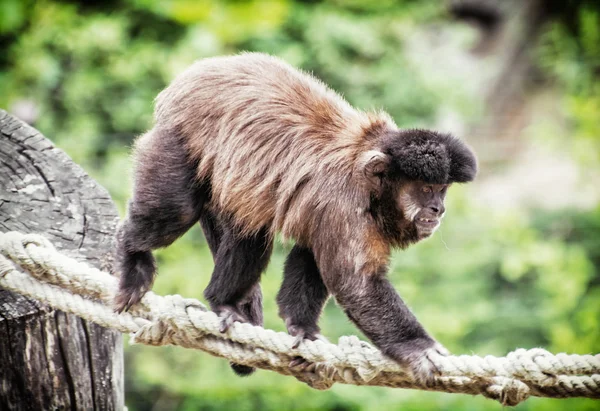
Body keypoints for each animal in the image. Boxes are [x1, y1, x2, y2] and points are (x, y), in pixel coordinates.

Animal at [113, 51, 478, 384]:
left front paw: (301, 329)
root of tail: (188, 78)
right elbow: (356, 283)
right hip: (176, 139)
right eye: (426, 189)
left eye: (442, 190)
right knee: (179, 211)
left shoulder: (330, 211)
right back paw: (131, 254)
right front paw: (419, 348)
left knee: (251, 233)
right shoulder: (346, 203)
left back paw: (222, 301)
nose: (438, 209)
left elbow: (310, 254)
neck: (370, 181)